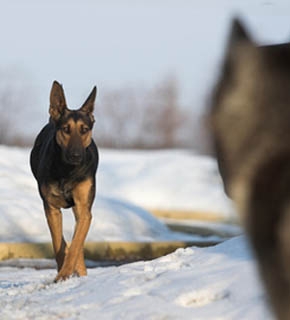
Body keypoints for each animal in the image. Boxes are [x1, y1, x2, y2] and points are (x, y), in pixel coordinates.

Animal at [30, 81, 98, 282]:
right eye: (66, 129)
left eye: (84, 130)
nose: (76, 155)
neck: (67, 171)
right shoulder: (51, 208)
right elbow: (58, 243)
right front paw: (62, 273)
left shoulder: (84, 208)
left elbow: (76, 244)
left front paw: (66, 273)